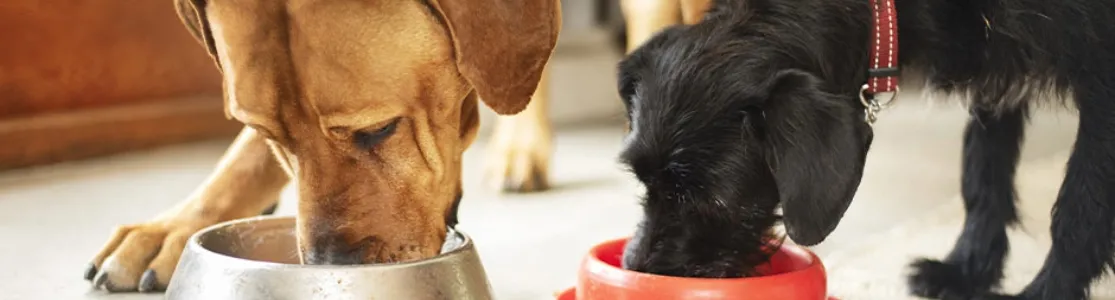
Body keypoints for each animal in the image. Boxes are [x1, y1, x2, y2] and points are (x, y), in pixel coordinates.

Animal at [615, 0, 1115, 296]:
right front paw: (965, 270)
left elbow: (1078, 210)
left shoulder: (1101, 74)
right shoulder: (996, 65)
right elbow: (983, 172)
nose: (637, 267)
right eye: (642, 181)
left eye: (714, 201)